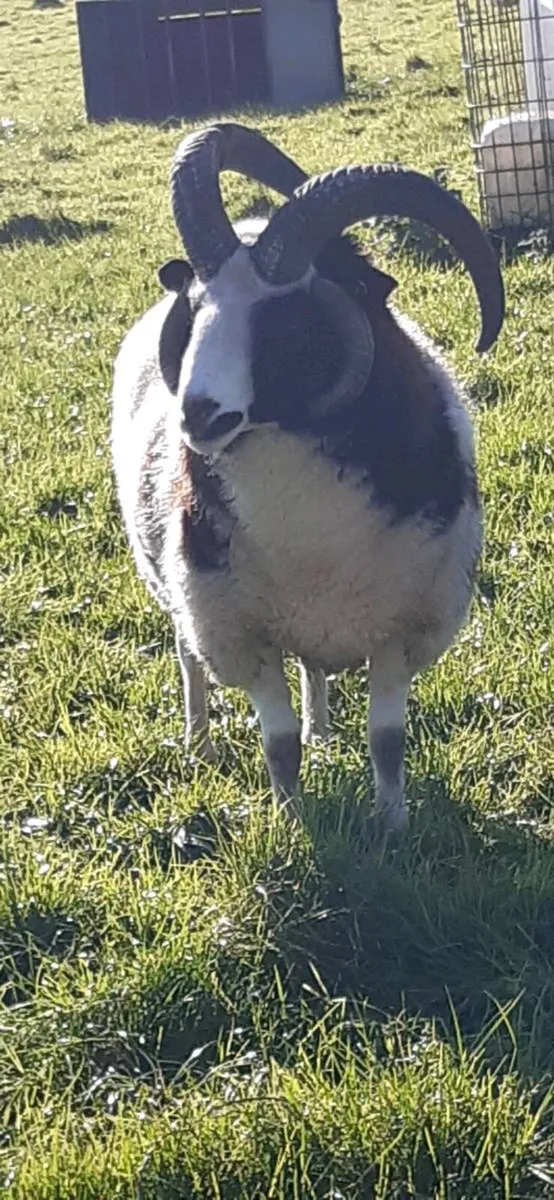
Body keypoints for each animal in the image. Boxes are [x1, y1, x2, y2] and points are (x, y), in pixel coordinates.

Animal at [111, 122, 504, 832]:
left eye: (288, 319)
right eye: (195, 309)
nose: (197, 413)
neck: (313, 531)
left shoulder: (400, 629)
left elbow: (386, 739)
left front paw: (392, 825)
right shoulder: (241, 633)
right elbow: (279, 745)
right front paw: (291, 823)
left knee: (314, 673)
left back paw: (323, 731)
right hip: (179, 590)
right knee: (187, 656)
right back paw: (199, 743)